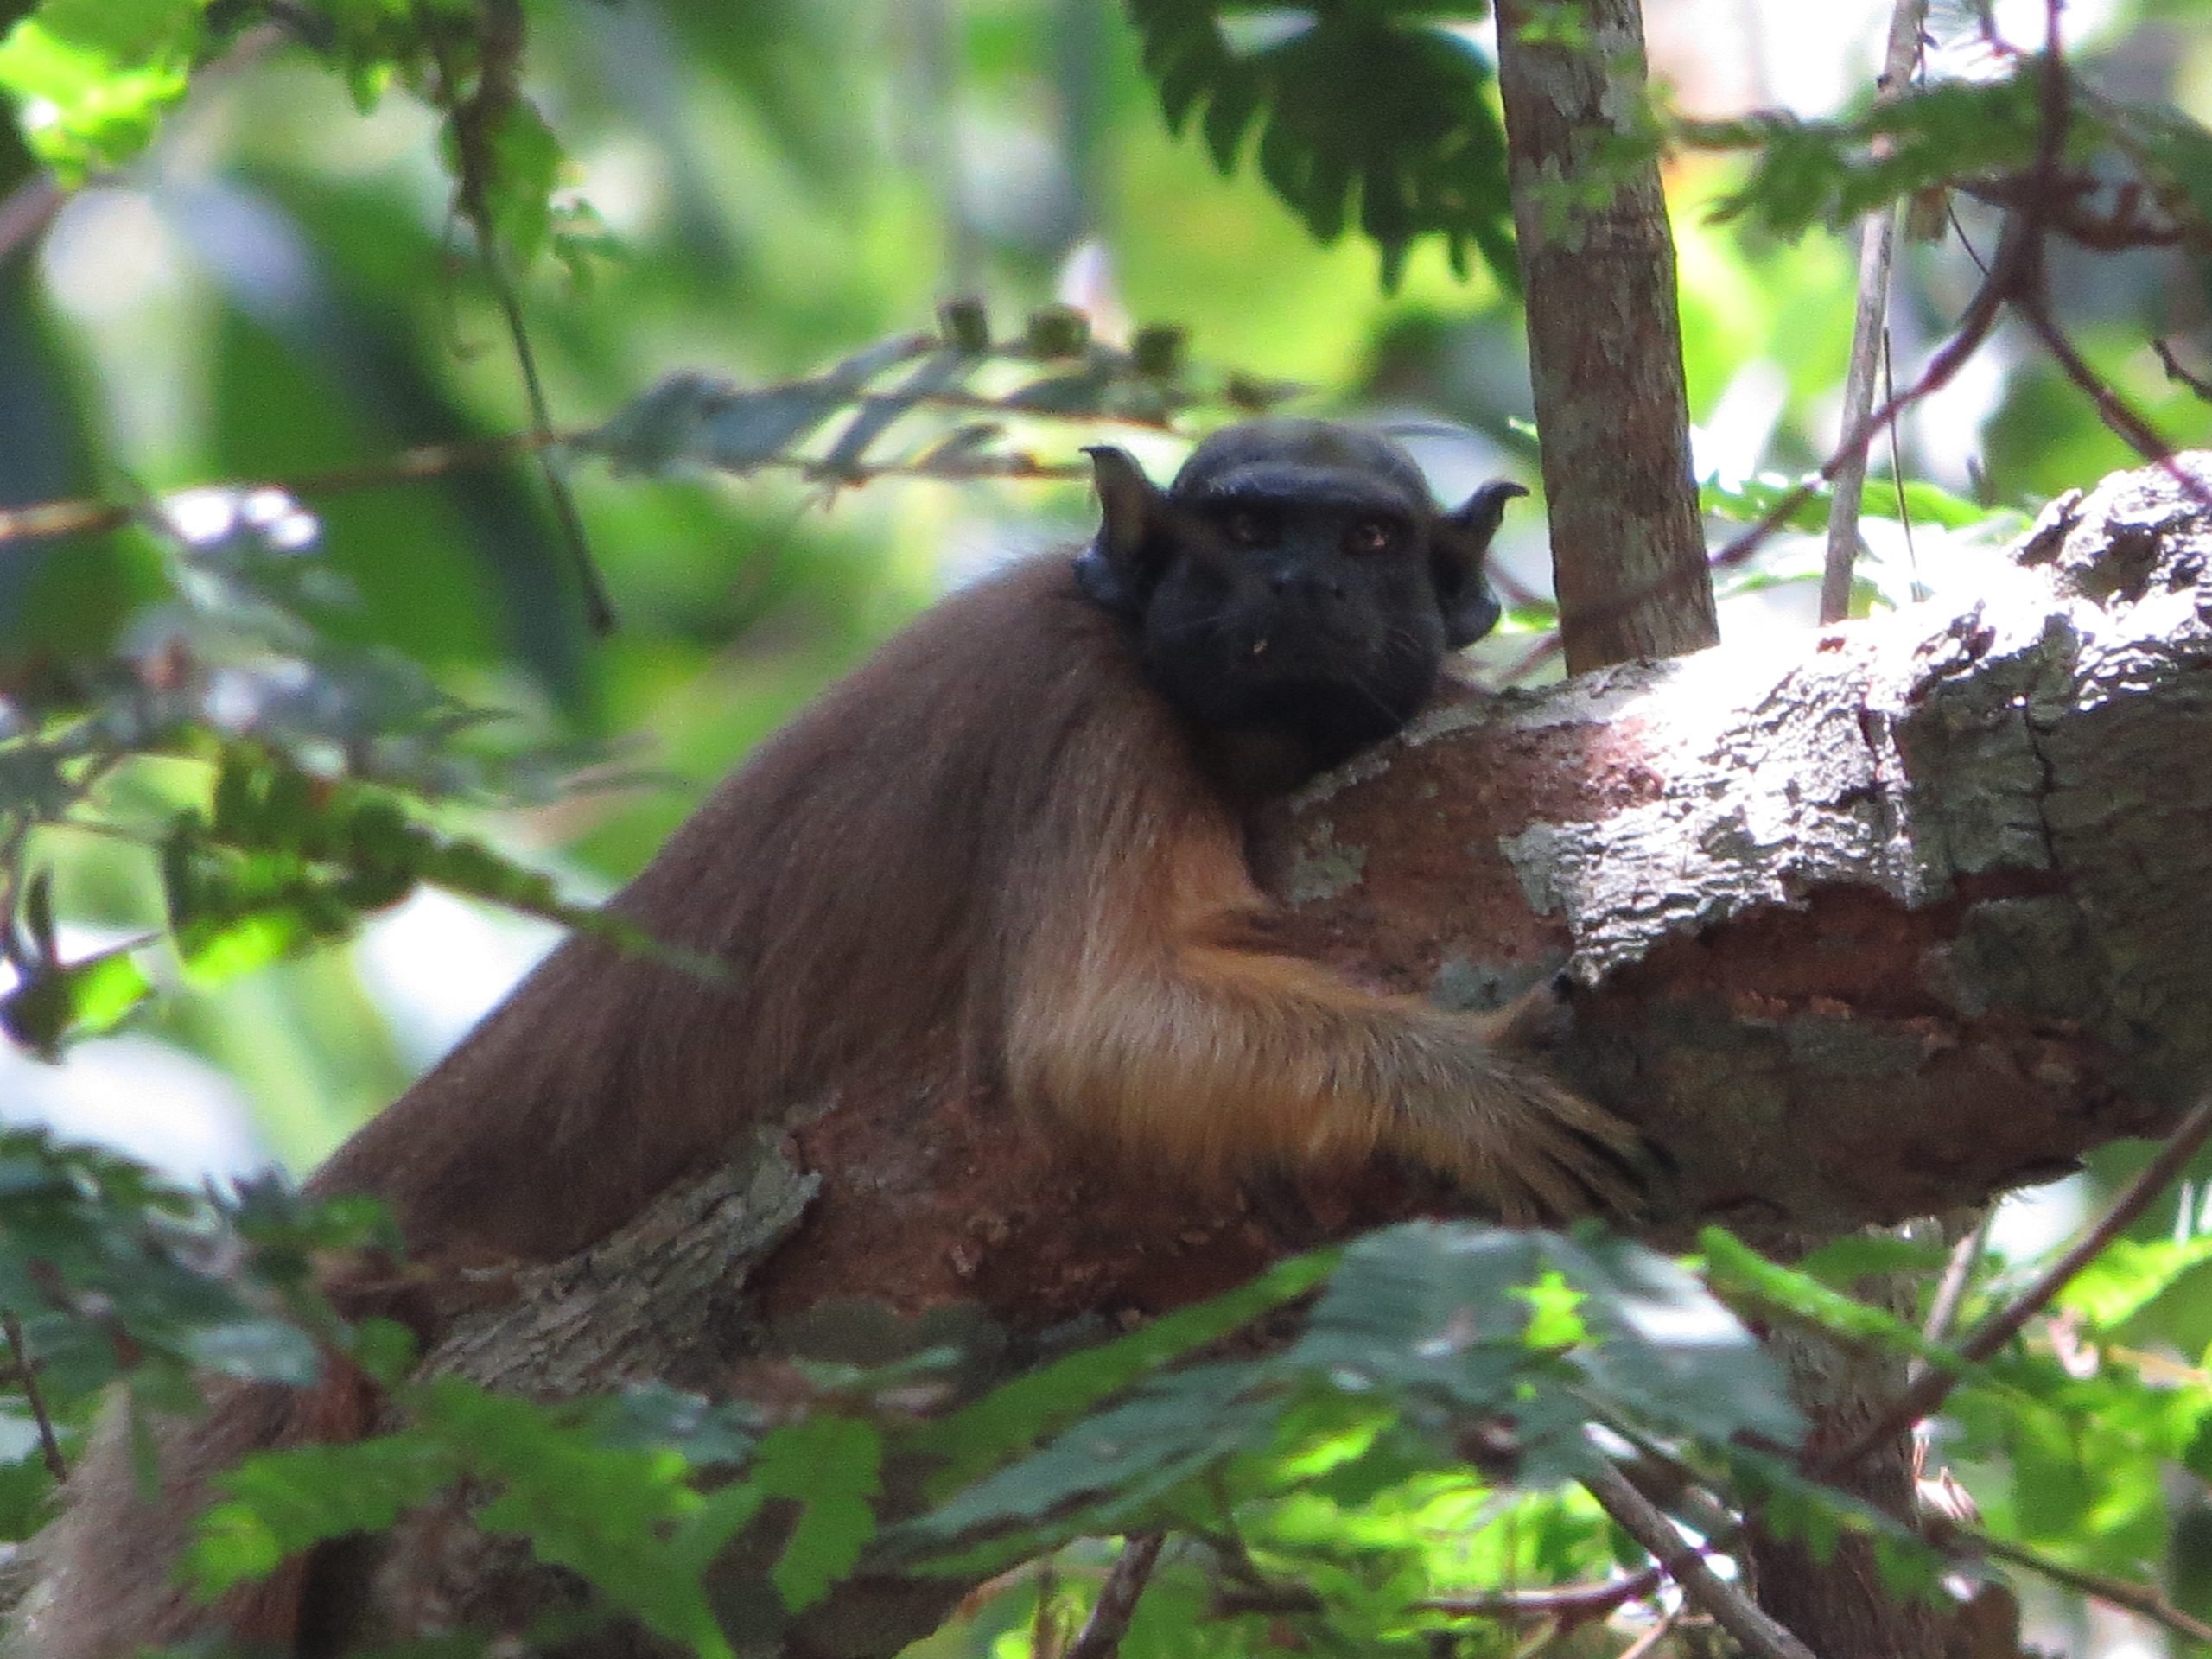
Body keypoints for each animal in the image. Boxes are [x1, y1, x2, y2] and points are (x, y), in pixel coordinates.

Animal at [17, 417, 1645, 1659]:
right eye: (1245, 531)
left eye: (1365, 545)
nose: (1300, 581)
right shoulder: (1083, 706)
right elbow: (1094, 1031)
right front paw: (1459, 1089)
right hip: (234, 1408)